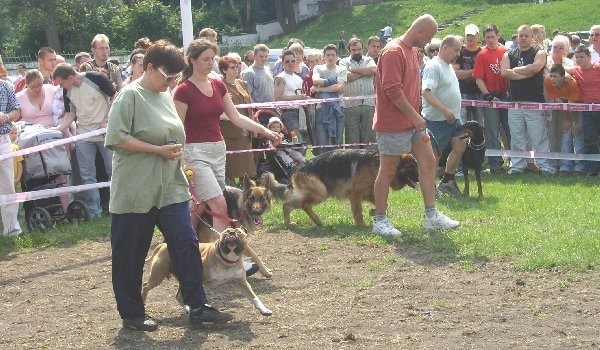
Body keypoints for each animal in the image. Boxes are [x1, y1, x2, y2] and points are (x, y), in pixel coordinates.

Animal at [142, 227, 274, 318]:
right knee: (145, 286)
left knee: (178, 296)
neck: (226, 261)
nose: (231, 233)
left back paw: (188, 309)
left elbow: (254, 297)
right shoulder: (198, 279)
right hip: (158, 276)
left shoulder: (242, 283)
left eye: (239, 232)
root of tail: (163, 245)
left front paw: (264, 309)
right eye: (226, 232)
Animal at [260, 148, 420, 227]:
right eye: (412, 167)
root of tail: (298, 168)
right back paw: (317, 220)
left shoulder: (369, 193)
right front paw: (362, 225)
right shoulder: (355, 194)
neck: (379, 165)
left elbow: (385, 205)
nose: (420, 178)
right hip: (321, 192)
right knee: (304, 205)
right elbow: (358, 212)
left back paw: (289, 223)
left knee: (287, 204)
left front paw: (373, 212)